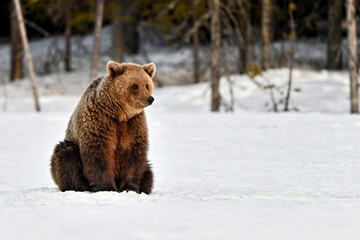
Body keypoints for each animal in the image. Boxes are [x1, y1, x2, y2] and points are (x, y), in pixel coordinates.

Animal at [50, 61, 155, 194]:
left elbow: (133, 153)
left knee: (148, 172)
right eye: (135, 86)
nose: (150, 98)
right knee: (65, 155)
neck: (120, 113)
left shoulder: (133, 123)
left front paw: (129, 187)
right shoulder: (100, 120)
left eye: (147, 85)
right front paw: (107, 187)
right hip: (71, 148)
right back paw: (78, 186)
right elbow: (99, 153)